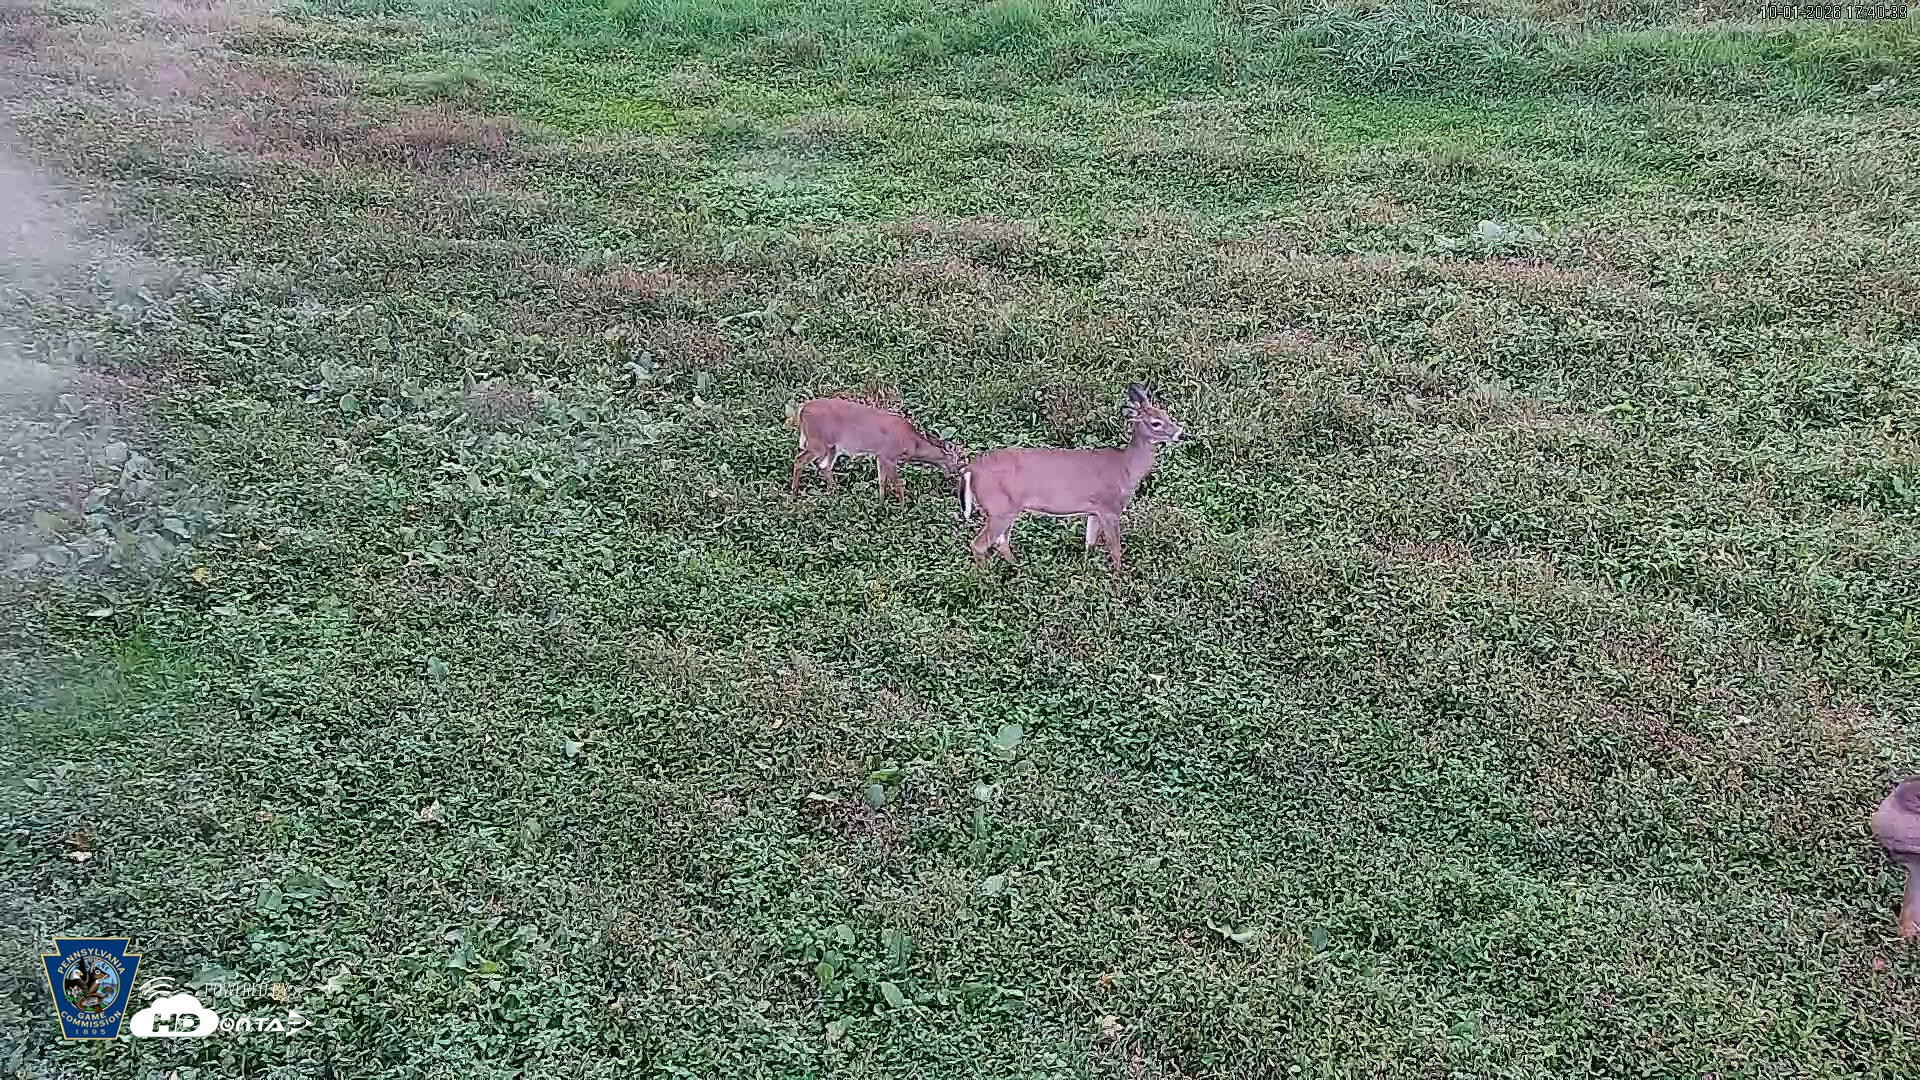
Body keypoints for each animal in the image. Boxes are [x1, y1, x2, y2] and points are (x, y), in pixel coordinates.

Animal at [789, 396, 964, 501]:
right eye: (955, 458)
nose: (957, 471)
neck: (913, 444)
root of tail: (802, 410)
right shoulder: (889, 455)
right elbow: (898, 483)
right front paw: (904, 508)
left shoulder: (880, 455)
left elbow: (882, 481)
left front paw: (881, 503)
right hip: (817, 442)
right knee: (799, 460)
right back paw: (794, 492)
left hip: (832, 447)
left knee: (824, 466)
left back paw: (834, 493)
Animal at [959, 384, 1184, 572]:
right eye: (1156, 423)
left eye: (1166, 414)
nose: (1181, 434)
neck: (1125, 468)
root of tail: (970, 469)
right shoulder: (1109, 507)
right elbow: (1115, 549)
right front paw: (1120, 579)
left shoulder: (1094, 510)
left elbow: (1089, 543)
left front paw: (1087, 570)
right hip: (999, 508)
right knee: (980, 544)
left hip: (1007, 509)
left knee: (1001, 542)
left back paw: (1021, 569)